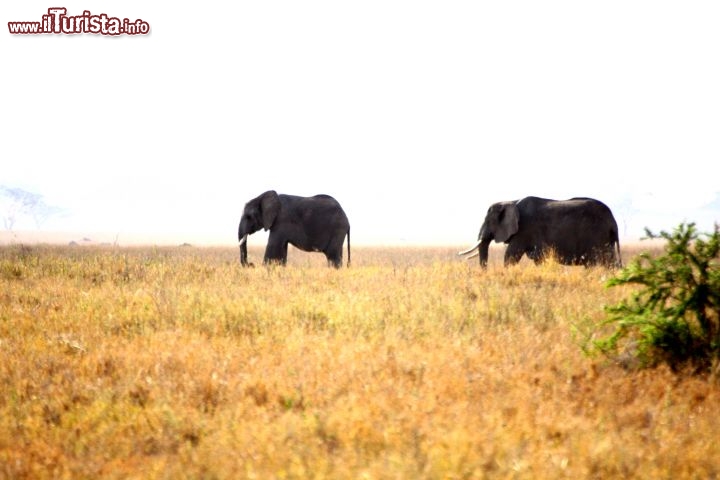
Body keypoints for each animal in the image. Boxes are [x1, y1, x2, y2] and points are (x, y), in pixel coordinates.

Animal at [458, 197, 620, 268]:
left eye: (488, 221)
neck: (511, 201)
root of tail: (613, 221)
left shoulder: (524, 230)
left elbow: (510, 256)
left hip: (597, 236)